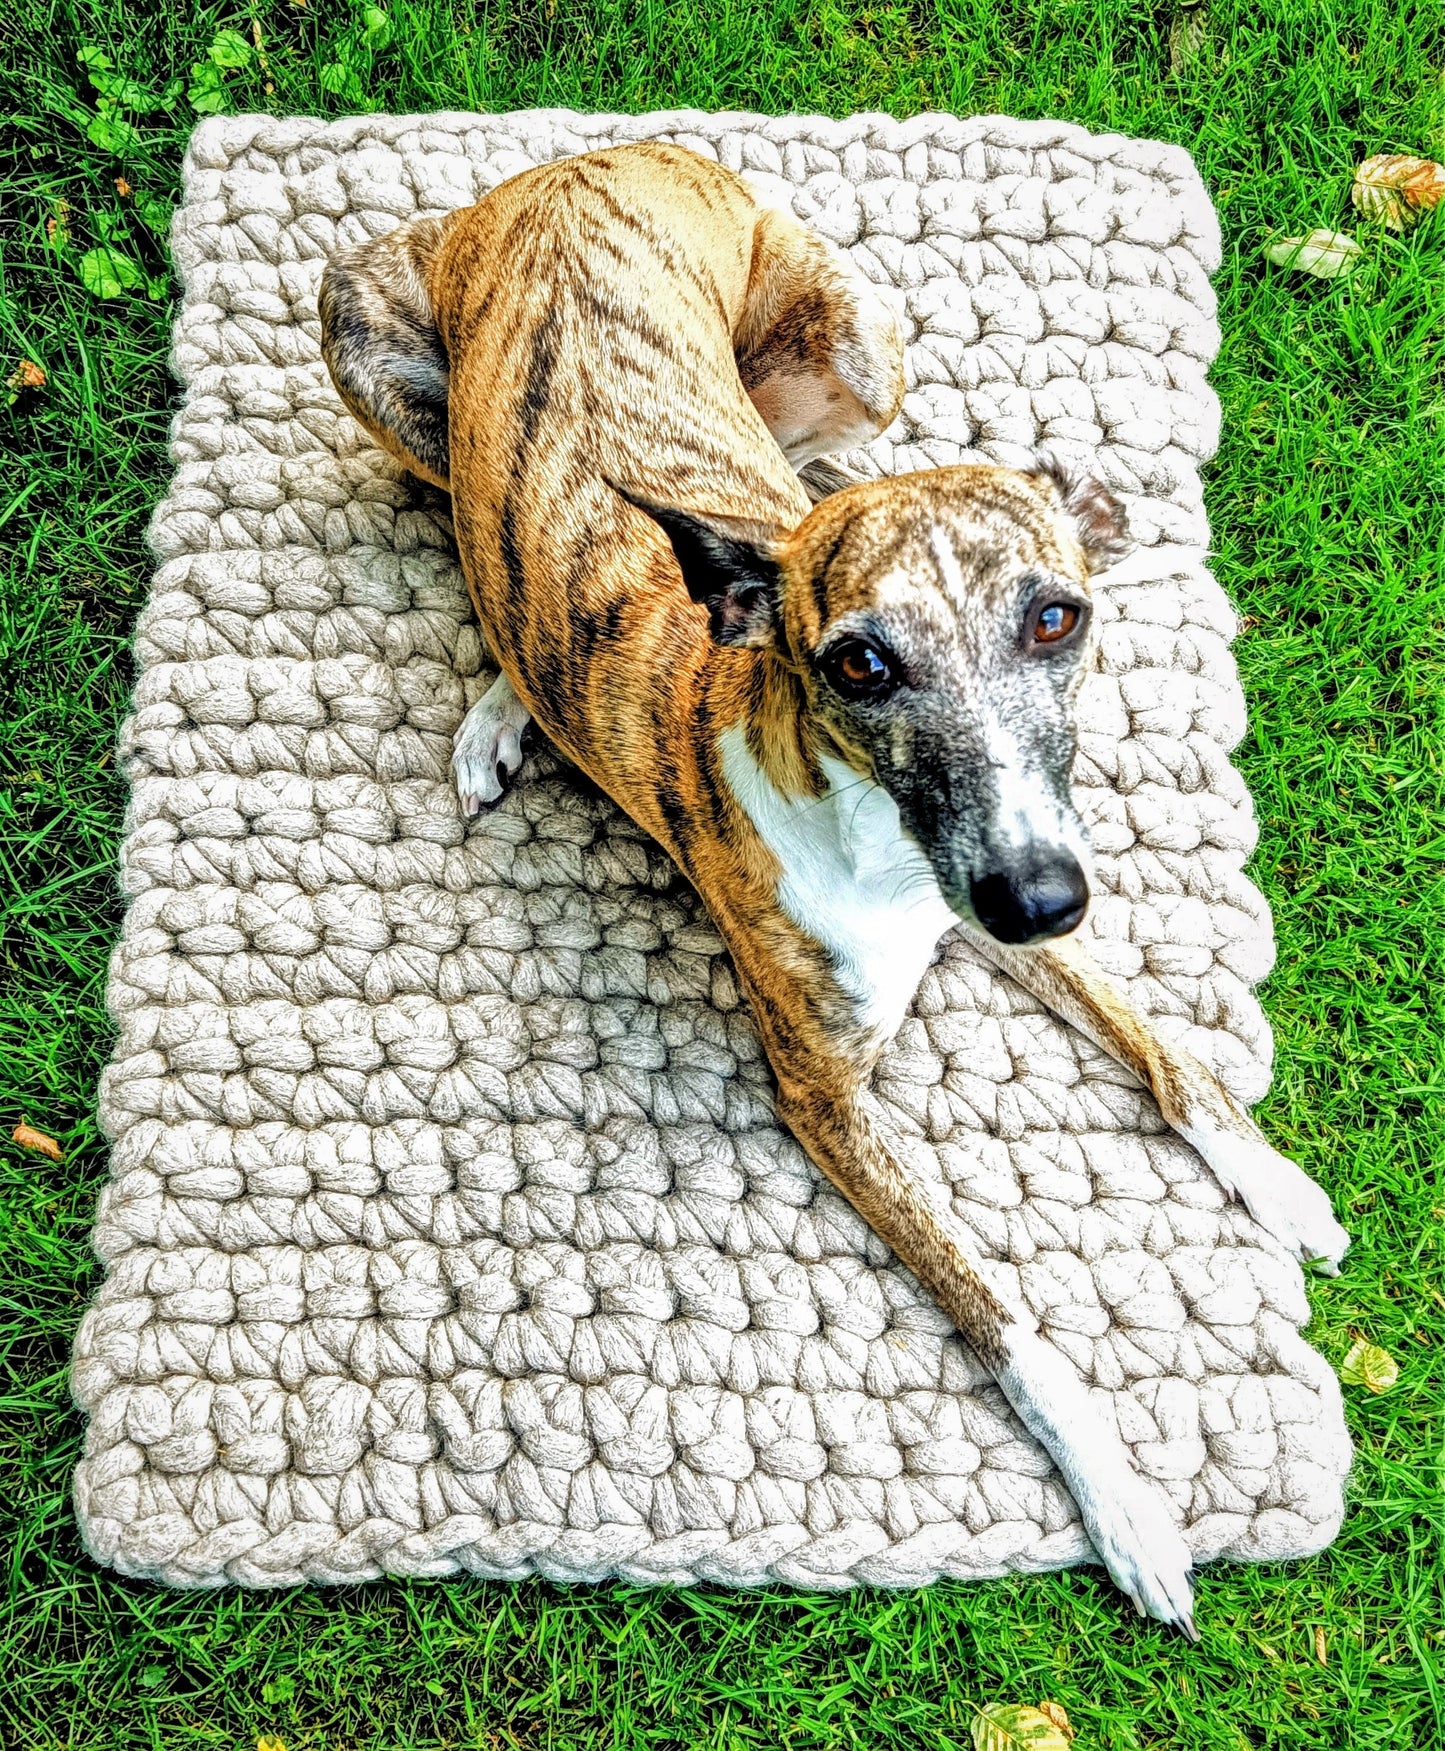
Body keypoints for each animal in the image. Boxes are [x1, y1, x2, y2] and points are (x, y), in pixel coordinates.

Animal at [320, 143, 1345, 1631]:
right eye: (858, 663)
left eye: (1056, 616)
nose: (1038, 902)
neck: (870, 829)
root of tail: (573, 160)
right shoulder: (825, 1091)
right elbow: (1000, 1305)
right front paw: (1127, 1504)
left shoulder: (1007, 871)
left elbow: (1164, 1050)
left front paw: (1271, 1184)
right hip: (370, 347)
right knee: (487, 530)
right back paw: (508, 701)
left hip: (866, 343)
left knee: (805, 465)